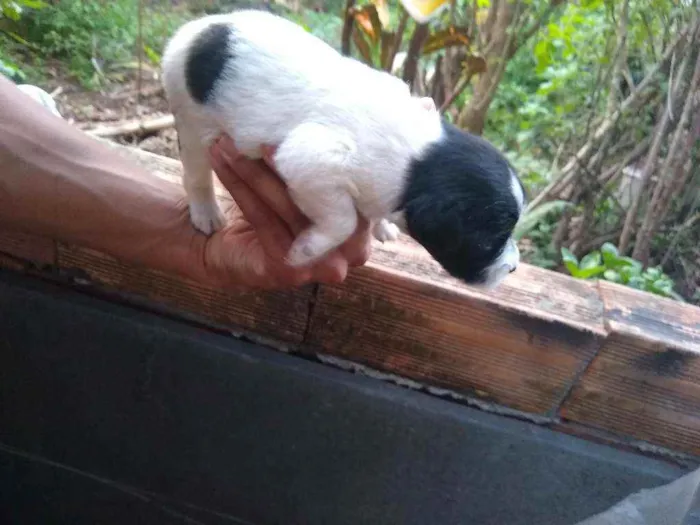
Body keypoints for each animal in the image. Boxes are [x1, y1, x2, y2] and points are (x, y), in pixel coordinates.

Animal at [161, 8, 524, 286]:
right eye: (488, 241)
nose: (515, 267)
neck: (419, 161)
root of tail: (192, 32)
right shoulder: (312, 162)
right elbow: (344, 221)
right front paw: (306, 249)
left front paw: (382, 225)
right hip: (192, 121)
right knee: (196, 173)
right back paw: (207, 213)